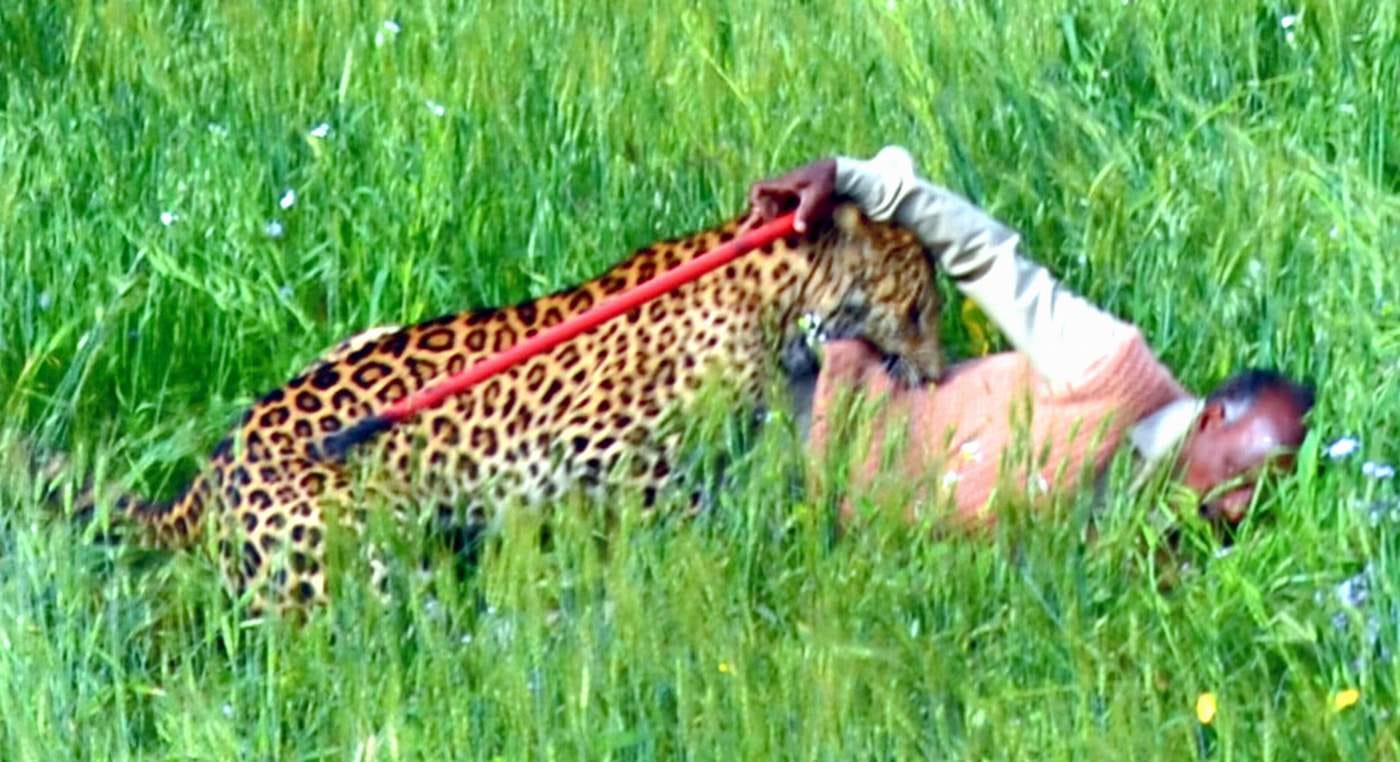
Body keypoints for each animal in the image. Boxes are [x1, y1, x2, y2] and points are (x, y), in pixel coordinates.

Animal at [77, 203, 944, 613]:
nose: (938, 373)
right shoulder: (597, 449)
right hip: (358, 551)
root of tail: (203, 480)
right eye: (920, 309)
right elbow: (685, 512)